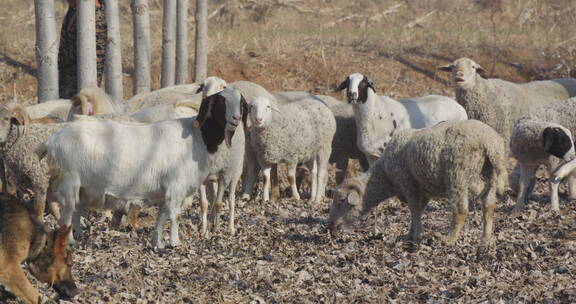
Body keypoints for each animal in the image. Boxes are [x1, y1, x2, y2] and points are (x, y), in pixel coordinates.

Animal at [41, 87, 248, 247]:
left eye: (241, 103)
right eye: (220, 103)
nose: (236, 118)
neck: (198, 137)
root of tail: (52, 141)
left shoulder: (167, 190)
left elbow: (162, 216)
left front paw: (158, 242)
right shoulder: (176, 187)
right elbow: (174, 216)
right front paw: (175, 242)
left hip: (80, 188)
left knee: (75, 212)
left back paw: (79, 236)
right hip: (69, 183)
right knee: (66, 215)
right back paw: (70, 241)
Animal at [326, 120, 506, 246]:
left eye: (341, 200)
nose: (331, 225)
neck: (385, 176)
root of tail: (490, 143)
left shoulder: (408, 183)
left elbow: (414, 209)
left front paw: (415, 236)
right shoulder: (423, 189)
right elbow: (418, 210)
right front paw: (410, 234)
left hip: (458, 176)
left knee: (462, 209)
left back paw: (449, 239)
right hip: (490, 175)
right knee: (489, 206)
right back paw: (486, 238)